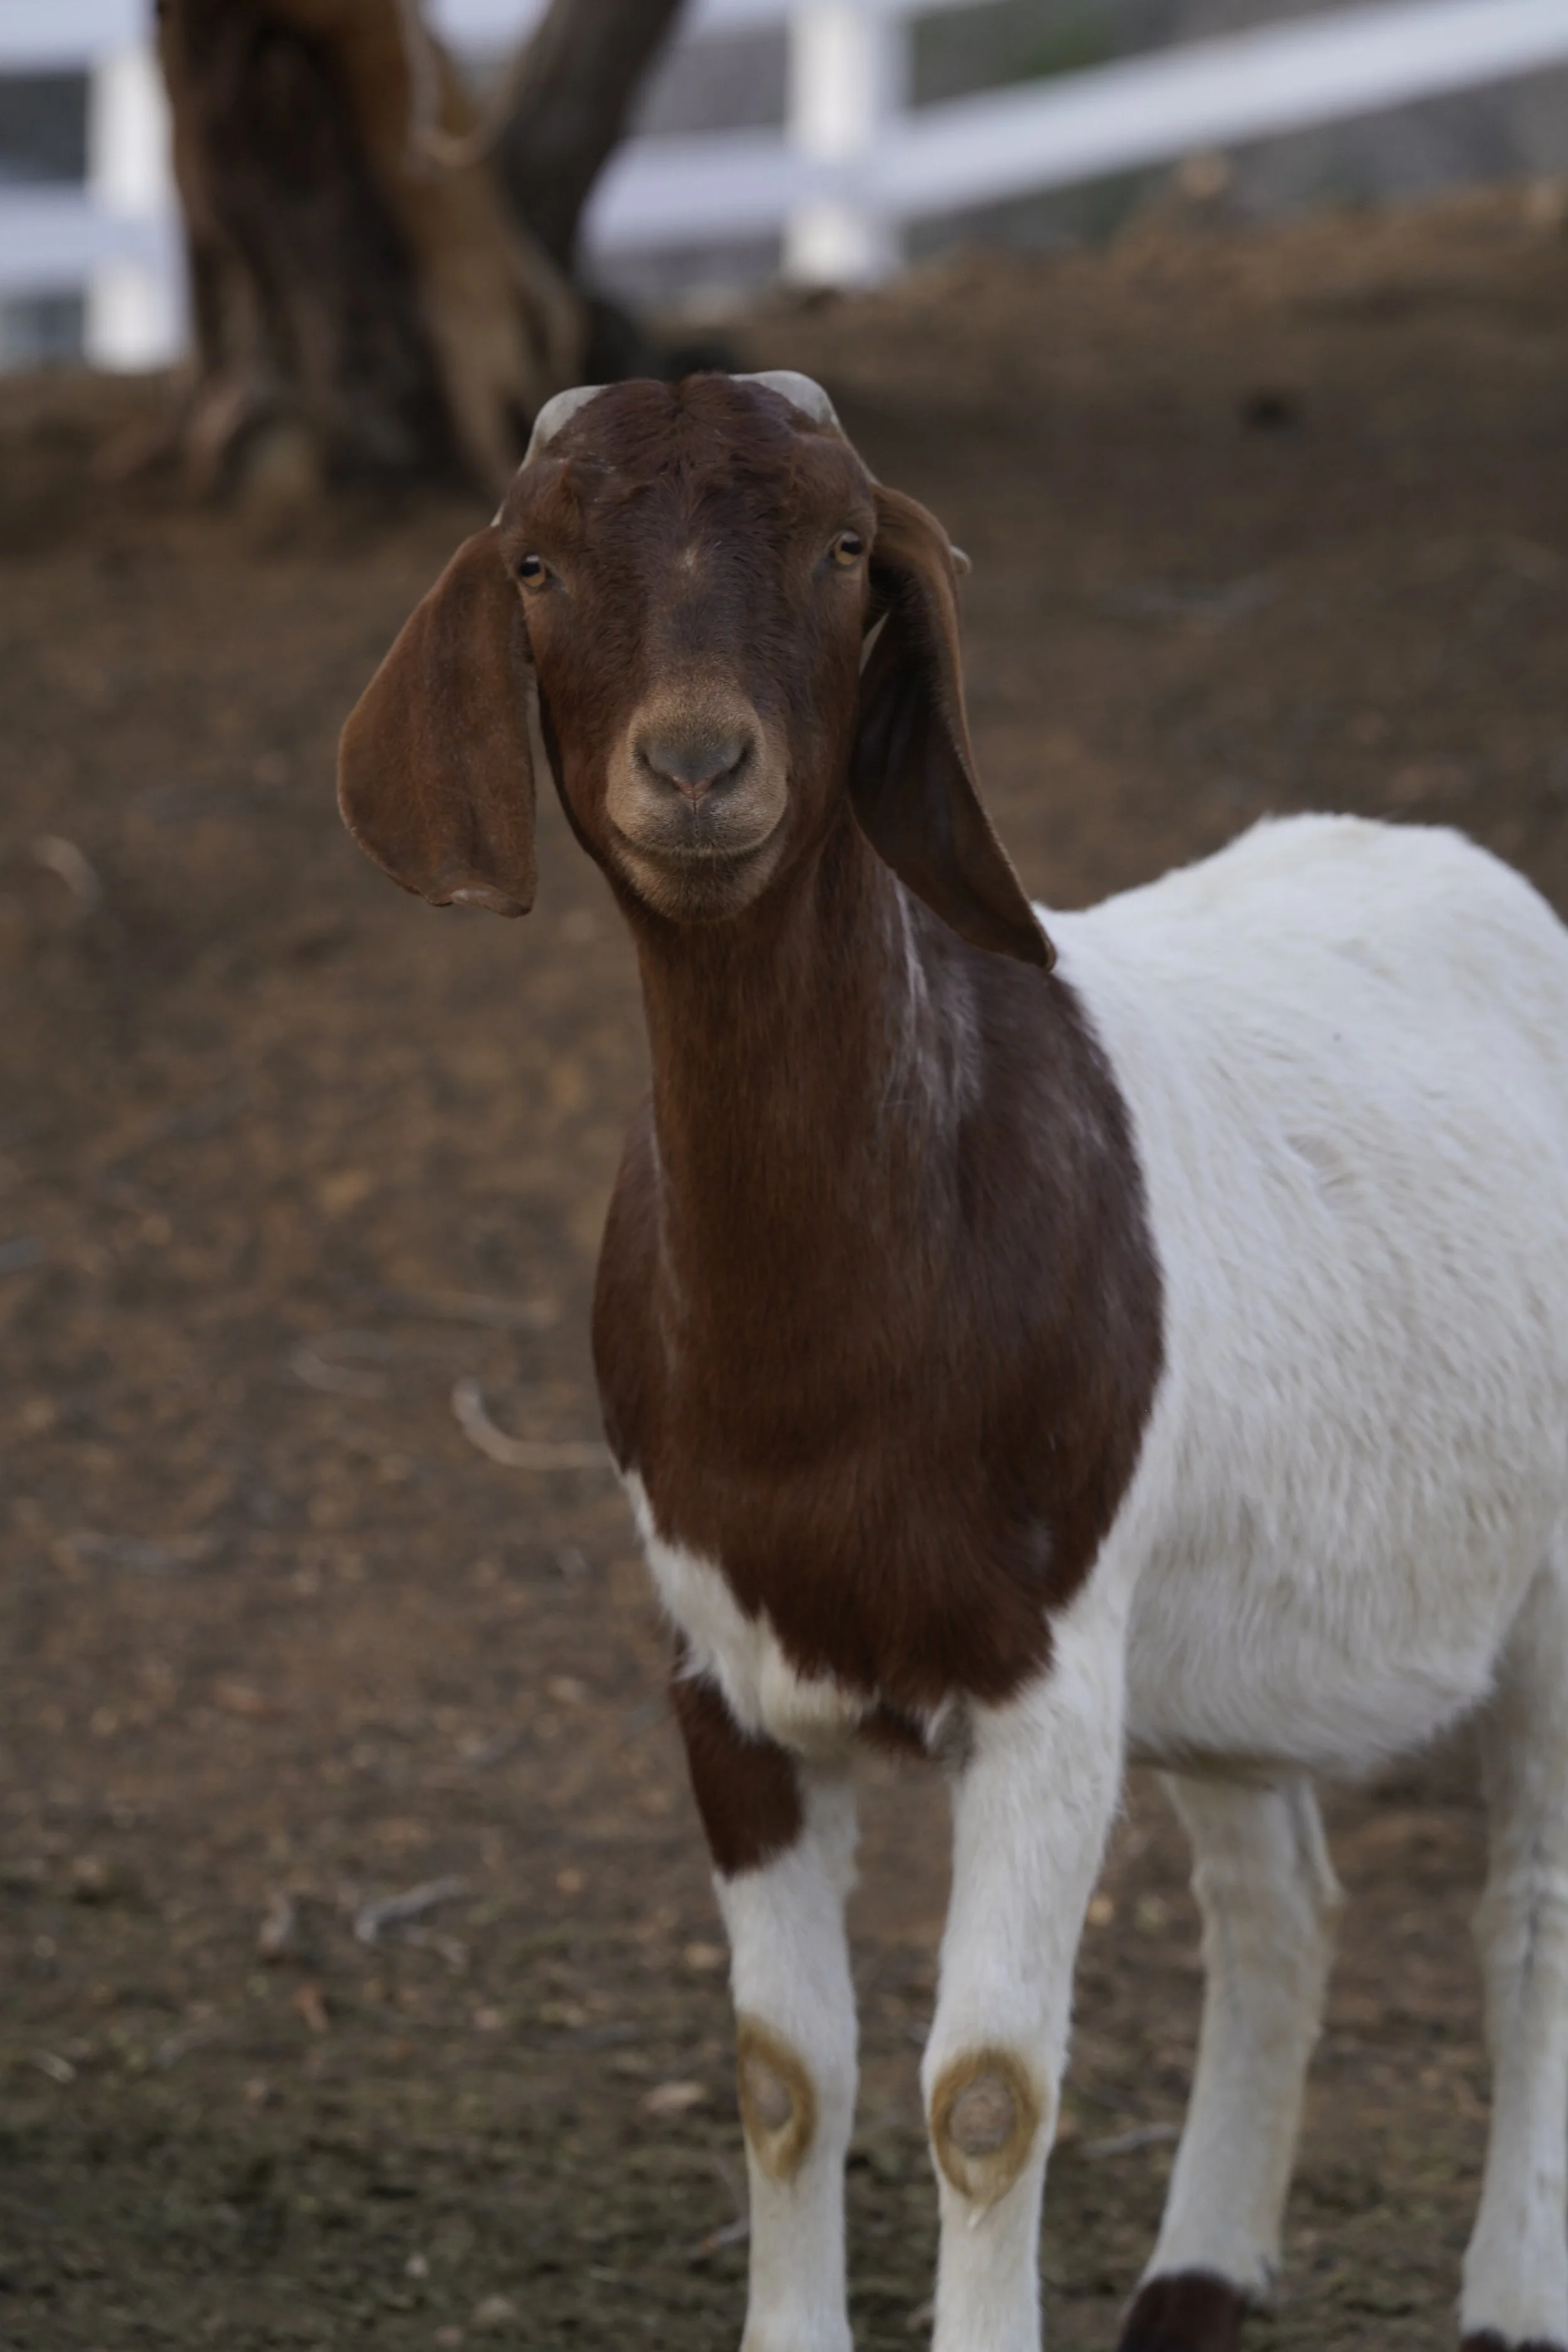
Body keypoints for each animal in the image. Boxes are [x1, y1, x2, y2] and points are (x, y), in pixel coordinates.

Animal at [338, 370, 1568, 2352]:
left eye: (845, 546)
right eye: (533, 561)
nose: (698, 767)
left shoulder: (1044, 1682)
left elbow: (984, 2091)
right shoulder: (720, 1676)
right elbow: (782, 2070)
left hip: (1537, 1586)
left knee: (1527, 1911)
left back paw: (1513, 2294)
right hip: (1223, 1634)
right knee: (1278, 1902)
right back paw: (1194, 2282)